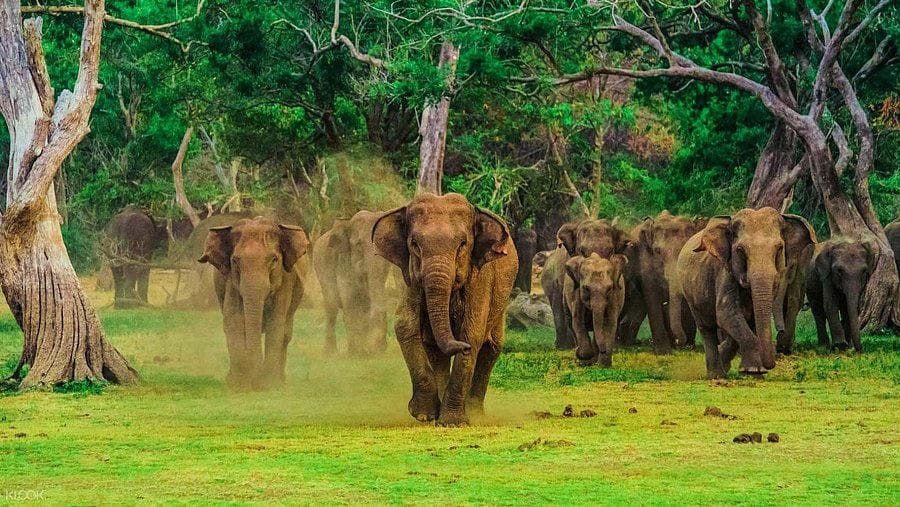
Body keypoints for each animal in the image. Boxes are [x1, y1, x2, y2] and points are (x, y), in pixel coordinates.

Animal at [198, 216, 309, 389]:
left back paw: (281, 381)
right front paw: (239, 385)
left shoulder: (286, 279)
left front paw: (268, 385)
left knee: (286, 333)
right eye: (235, 261)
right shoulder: (231, 280)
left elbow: (276, 322)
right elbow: (234, 319)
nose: (255, 380)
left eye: (274, 260)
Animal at [313, 210, 393, 355]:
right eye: (359, 246)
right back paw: (330, 353)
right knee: (331, 307)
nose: (381, 348)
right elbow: (350, 300)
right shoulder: (342, 261)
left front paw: (369, 351)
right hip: (320, 268)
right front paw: (357, 354)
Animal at [372, 193, 517, 426]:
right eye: (414, 244)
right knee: (435, 350)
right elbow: (405, 326)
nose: (462, 348)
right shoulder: (411, 279)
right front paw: (423, 415)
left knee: (492, 348)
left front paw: (453, 423)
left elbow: (472, 333)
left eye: (463, 244)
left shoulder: (480, 277)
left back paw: (475, 413)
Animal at [618, 211, 707, 352]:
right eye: (657, 251)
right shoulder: (645, 258)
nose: (679, 342)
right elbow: (651, 294)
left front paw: (687, 347)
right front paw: (663, 351)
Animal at [674, 208, 813, 378]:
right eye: (740, 250)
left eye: (780, 248)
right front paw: (753, 370)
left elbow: (749, 318)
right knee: (707, 328)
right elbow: (726, 313)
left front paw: (753, 371)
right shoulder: (725, 272)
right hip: (691, 292)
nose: (771, 364)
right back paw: (717, 375)